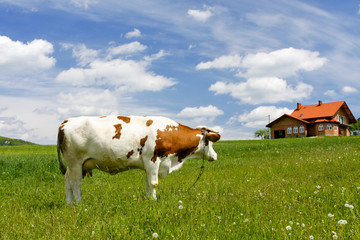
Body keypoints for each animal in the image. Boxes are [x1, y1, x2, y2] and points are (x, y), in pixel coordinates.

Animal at [56, 115, 221, 203]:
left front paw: (149, 200)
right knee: (75, 184)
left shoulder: (149, 164)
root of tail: (67, 121)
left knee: (67, 181)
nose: (215, 156)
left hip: (74, 166)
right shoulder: (153, 159)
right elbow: (154, 183)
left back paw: (70, 204)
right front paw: (154, 201)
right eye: (209, 142)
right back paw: (80, 204)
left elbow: (148, 183)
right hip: (75, 163)